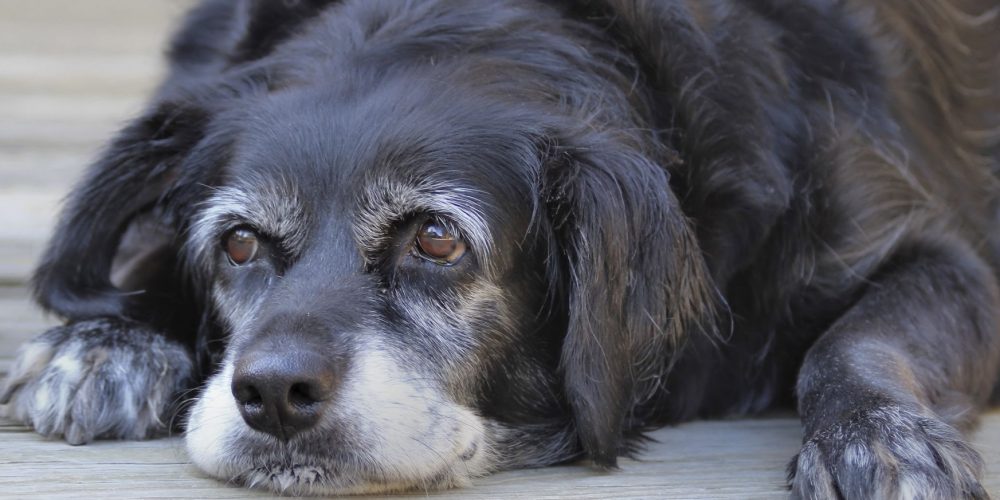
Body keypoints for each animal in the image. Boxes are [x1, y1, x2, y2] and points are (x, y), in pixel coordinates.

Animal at [1, 0, 1000, 496]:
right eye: (239, 243)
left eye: (436, 237)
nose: (272, 395)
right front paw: (108, 342)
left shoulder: (947, 261)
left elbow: (852, 340)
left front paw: (876, 438)